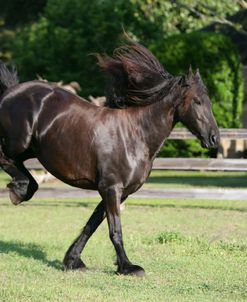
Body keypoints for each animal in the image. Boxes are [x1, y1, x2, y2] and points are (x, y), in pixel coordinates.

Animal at [0, 39, 219, 276]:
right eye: (197, 101)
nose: (214, 138)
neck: (135, 136)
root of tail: (10, 92)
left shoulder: (117, 191)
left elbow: (92, 224)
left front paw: (73, 261)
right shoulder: (111, 188)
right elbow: (115, 229)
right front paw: (128, 267)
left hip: (30, 149)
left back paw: (21, 188)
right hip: (18, 143)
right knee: (6, 160)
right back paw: (19, 190)